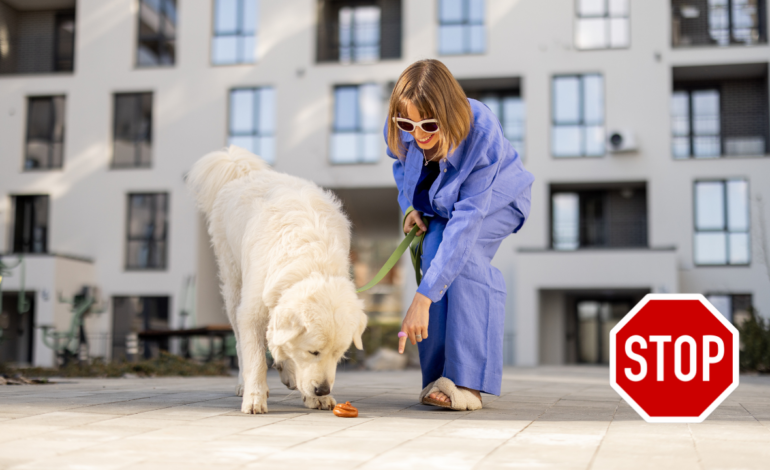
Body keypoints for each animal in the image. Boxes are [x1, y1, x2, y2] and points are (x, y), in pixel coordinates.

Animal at [185, 145, 366, 414]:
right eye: (313, 352)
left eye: (339, 354)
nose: (323, 390)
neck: (310, 263)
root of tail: (244, 171)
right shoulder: (251, 310)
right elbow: (256, 357)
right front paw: (255, 398)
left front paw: (315, 398)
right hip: (233, 283)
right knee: (241, 344)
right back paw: (245, 384)